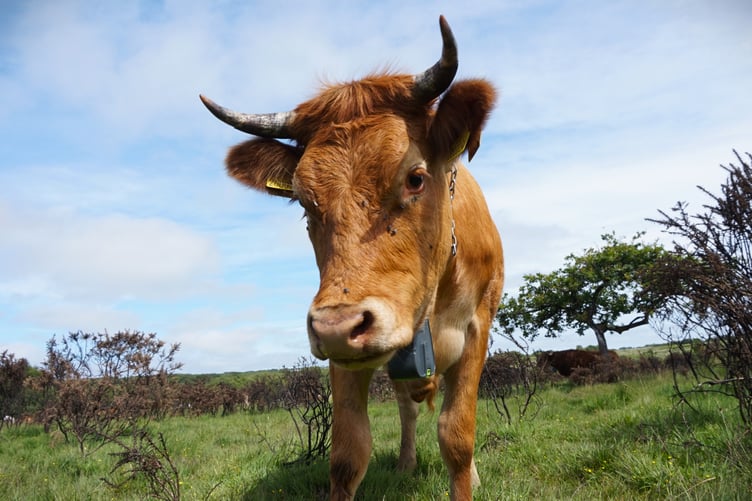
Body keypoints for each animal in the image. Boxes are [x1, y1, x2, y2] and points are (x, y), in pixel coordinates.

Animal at [200, 16, 503, 501]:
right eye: (304, 200)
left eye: (415, 177)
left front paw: (467, 475)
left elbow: (457, 436)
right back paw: (405, 464)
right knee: (407, 409)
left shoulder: (476, 330)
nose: (338, 326)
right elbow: (347, 453)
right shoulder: (345, 354)